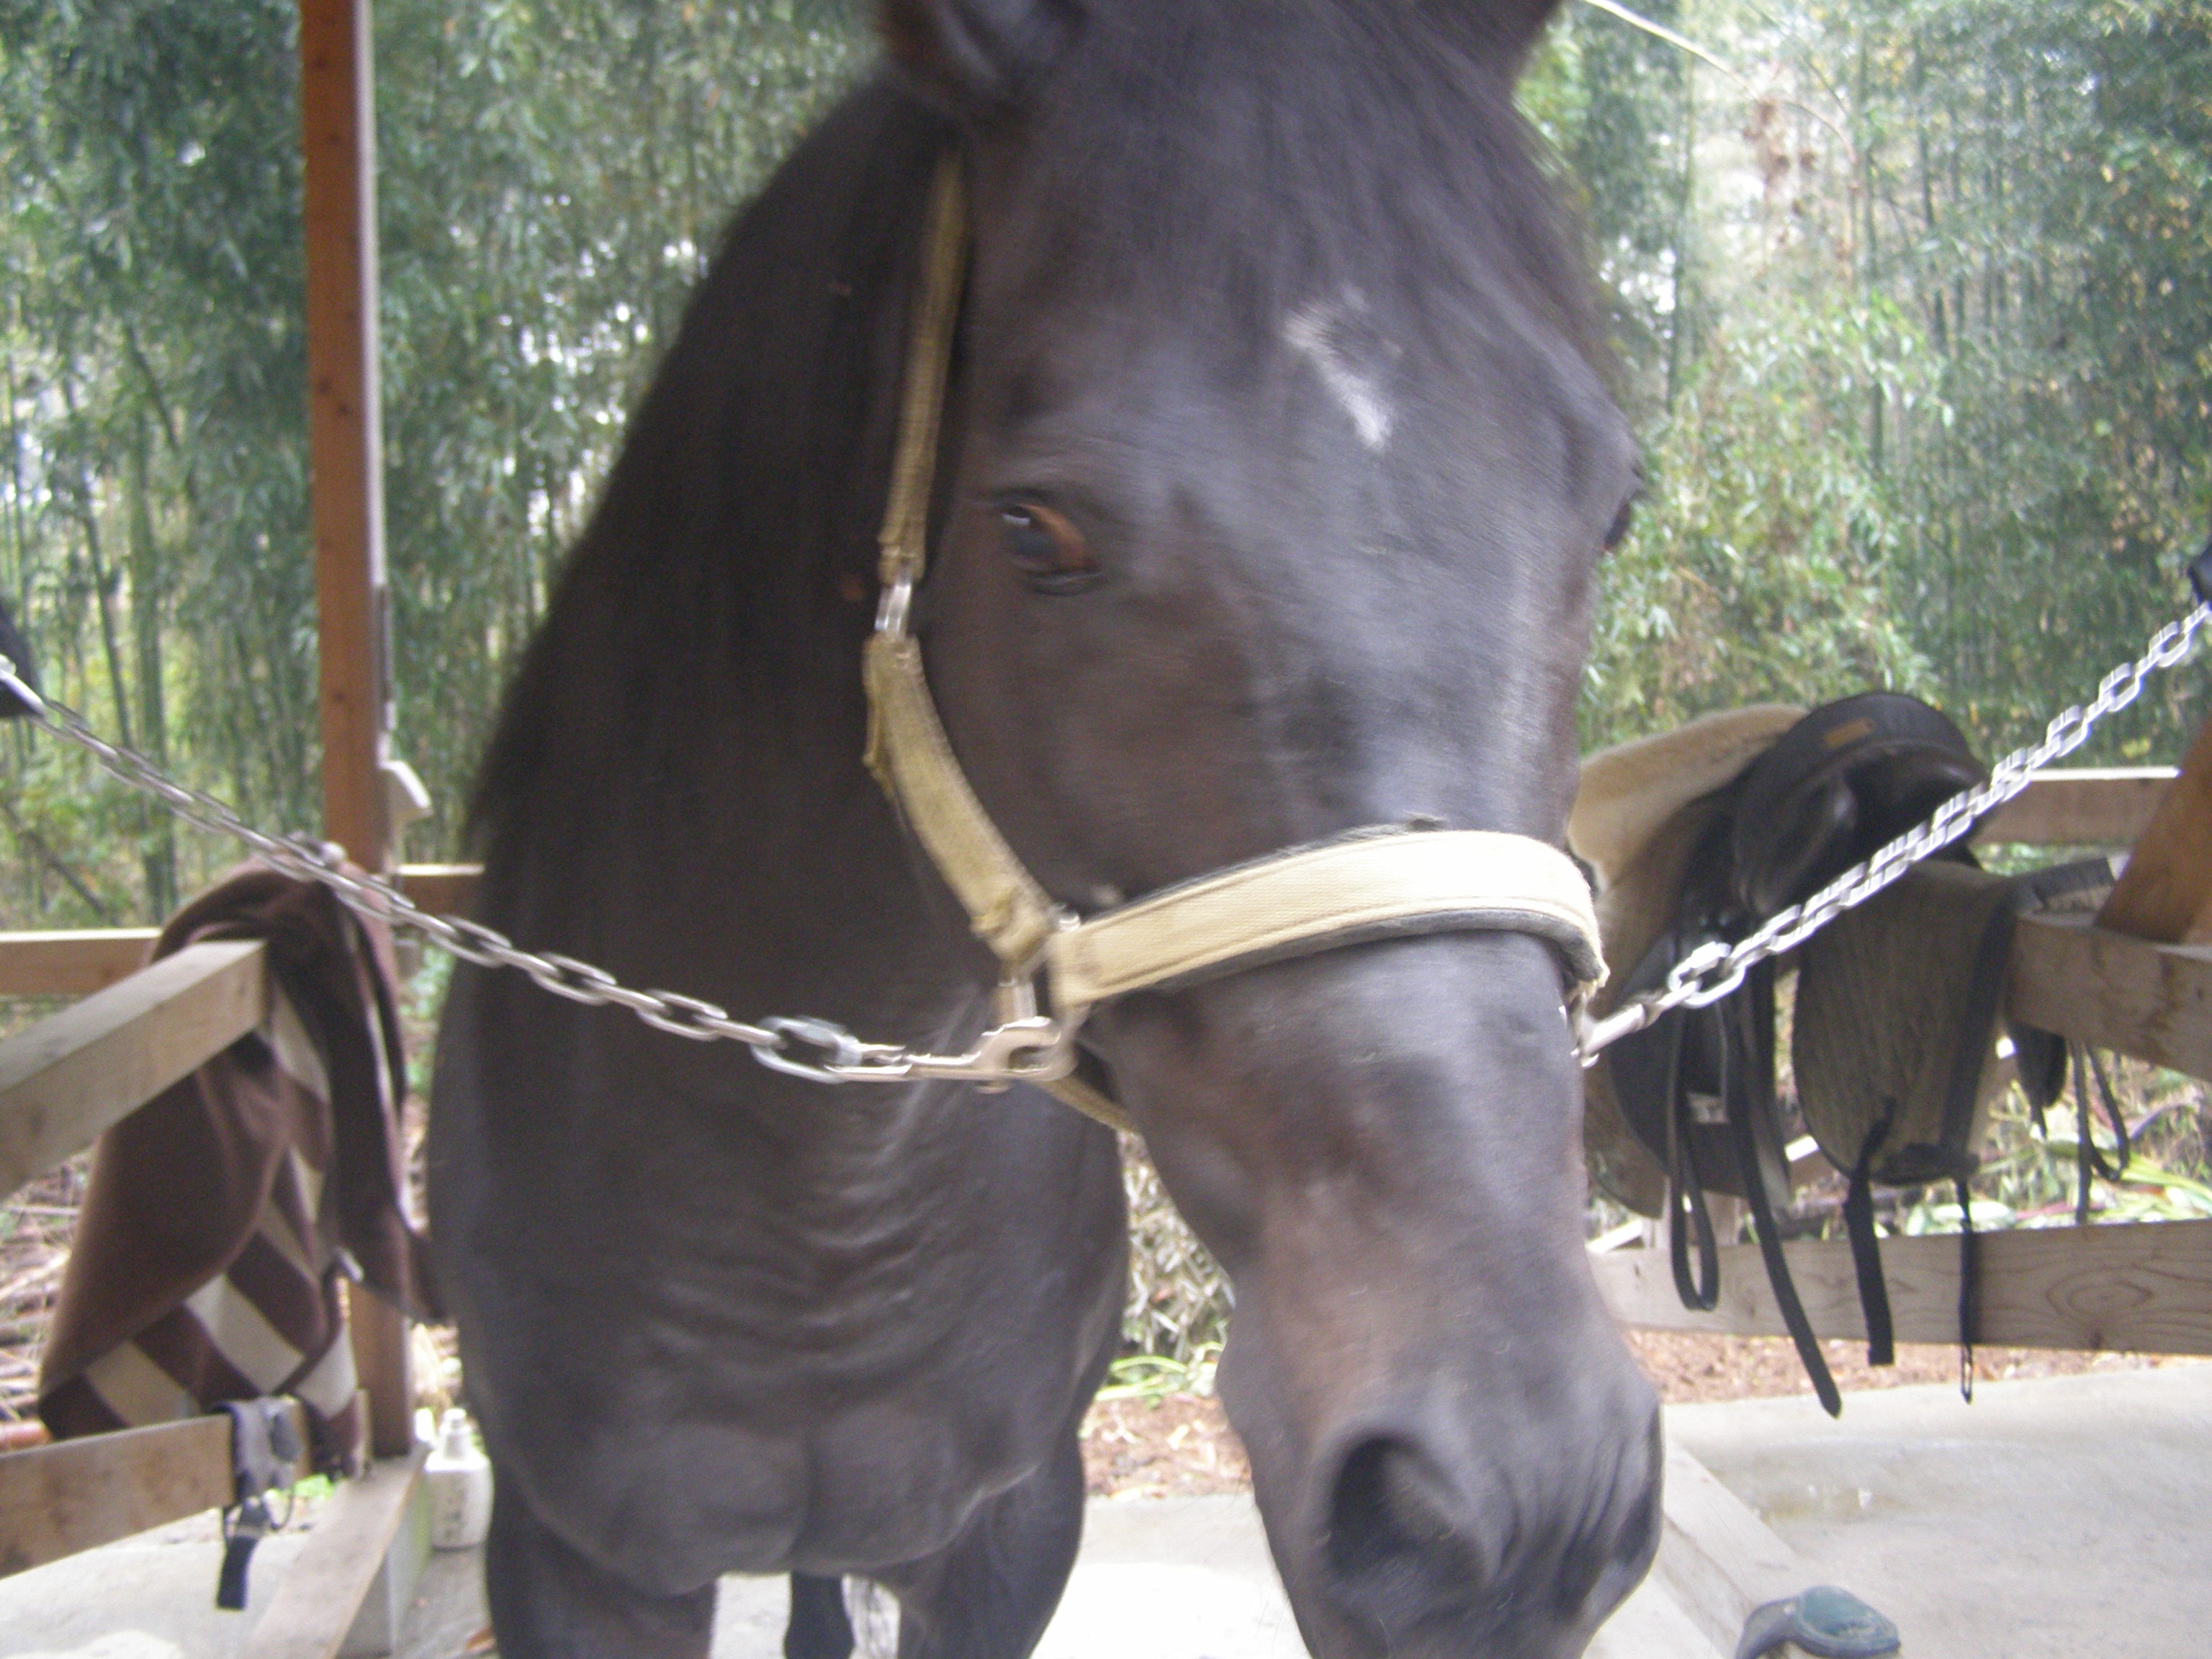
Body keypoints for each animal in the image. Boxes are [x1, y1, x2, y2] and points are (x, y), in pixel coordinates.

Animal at [427, 2, 1660, 1655]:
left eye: (1612, 508)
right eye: (1034, 529)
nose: (1519, 1493)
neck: (816, 1186)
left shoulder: (1010, 1530)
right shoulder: (578, 1562)